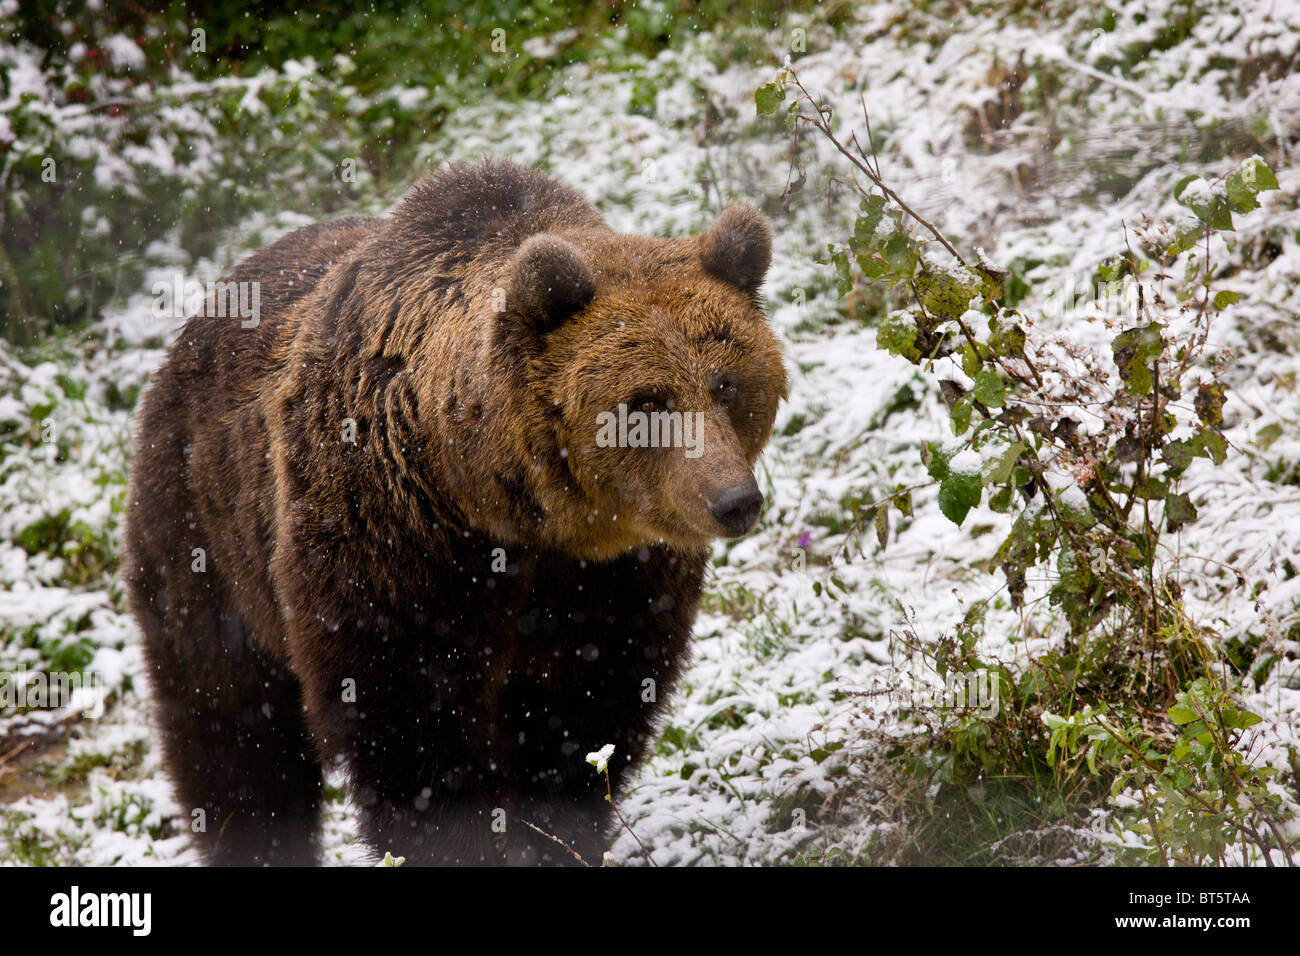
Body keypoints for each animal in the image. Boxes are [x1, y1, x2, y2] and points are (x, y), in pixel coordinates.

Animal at [122, 158, 785, 868]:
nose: (734, 501)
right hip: (206, 538)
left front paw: (554, 834)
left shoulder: (614, 579)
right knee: (230, 727)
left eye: (727, 384)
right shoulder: (392, 541)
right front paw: (458, 840)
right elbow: (413, 727)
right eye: (649, 401)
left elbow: (584, 712)